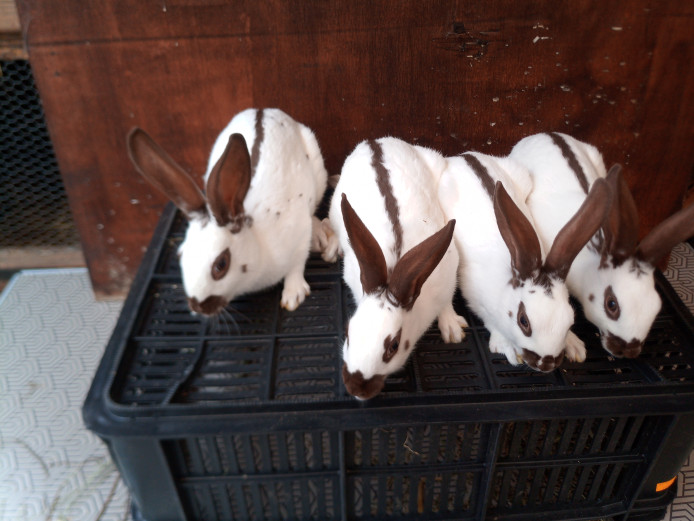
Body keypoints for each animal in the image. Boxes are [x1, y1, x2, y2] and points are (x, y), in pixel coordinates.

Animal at [127, 108, 328, 315]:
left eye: (221, 265)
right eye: (180, 257)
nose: (197, 307)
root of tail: (263, 110)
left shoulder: (299, 233)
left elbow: (297, 264)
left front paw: (293, 296)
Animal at [327, 137, 466, 400]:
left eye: (393, 346)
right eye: (349, 333)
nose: (356, 388)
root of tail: (375, 142)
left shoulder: (448, 270)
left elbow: (447, 301)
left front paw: (453, 331)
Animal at [438, 152, 610, 371]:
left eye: (570, 322)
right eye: (523, 321)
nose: (547, 364)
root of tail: (464, 156)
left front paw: (574, 346)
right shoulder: (475, 297)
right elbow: (492, 323)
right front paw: (506, 347)